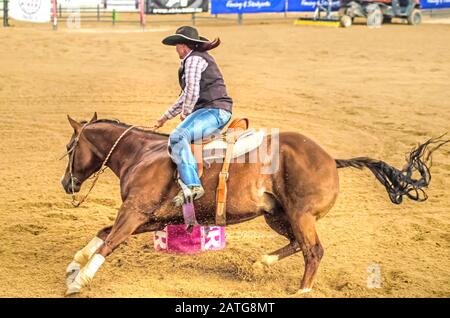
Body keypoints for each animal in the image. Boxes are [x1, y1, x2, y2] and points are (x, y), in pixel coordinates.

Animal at [61, 112, 448, 296]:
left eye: (69, 148)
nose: (66, 183)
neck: (144, 153)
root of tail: (331, 159)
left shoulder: (136, 212)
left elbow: (110, 241)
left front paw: (79, 280)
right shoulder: (152, 218)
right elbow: (104, 232)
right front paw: (75, 262)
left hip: (301, 214)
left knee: (313, 250)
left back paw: (302, 290)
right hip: (278, 216)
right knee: (297, 244)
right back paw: (261, 264)